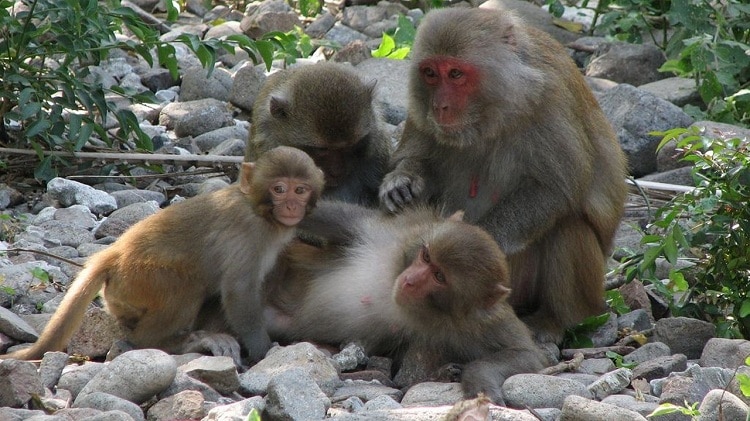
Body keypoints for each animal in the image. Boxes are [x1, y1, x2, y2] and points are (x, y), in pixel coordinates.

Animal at [2, 146, 326, 362]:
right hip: (141, 279)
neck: (259, 210)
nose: (291, 207)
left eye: (300, 190)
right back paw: (176, 343)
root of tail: (114, 255)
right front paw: (262, 351)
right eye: (279, 189)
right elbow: (239, 291)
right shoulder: (249, 234)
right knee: (184, 288)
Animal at [268, 200, 548, 404]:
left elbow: (527, 355)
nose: (410, 280)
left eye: (439, 276)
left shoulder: (481, 321)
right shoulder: (389, 233)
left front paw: (479, 380)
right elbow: (334, 219)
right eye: (426, 256)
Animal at [378, 6, 632, 342]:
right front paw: (402, 182)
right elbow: (416, 161)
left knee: (568, 227)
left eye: (455, 74)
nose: (440, 106)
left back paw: (556, 320)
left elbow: (557, 189)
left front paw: (479, 238)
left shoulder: (549, 100)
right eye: (430, 73)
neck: (492, 111)